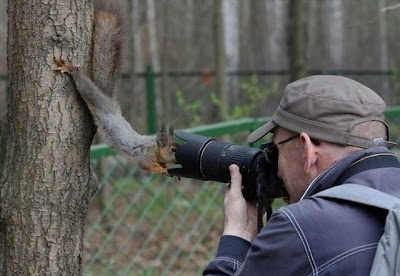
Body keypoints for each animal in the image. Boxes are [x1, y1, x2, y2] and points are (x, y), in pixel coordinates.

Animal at [54, 0, 177, 175]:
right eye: (173, 149)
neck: (155, 148)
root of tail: (109, 101)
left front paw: (166, 168)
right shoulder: (144, 155)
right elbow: (145, 165)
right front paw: (161, 170)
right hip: (94, 97)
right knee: (84, 85)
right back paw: (70, 69)